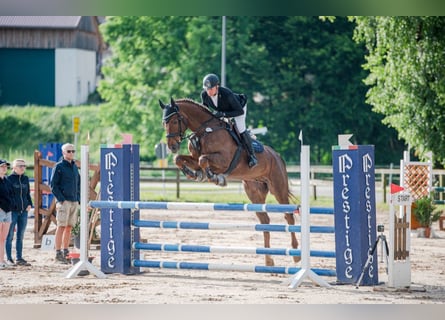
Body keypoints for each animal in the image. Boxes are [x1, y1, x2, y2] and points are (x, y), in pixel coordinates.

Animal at [158, 97, 300, 264]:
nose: (172, 146)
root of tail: (277, 156)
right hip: (254, 192)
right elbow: (180, 159)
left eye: (174, 121)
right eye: (164, 123)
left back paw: (296, 255)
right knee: (265, 221)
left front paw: (215, 178)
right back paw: (268, 260)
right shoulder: (194, 158)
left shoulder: (224, 160)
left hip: (278, 188)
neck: (204, 131)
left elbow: (203, 159)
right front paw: (194, 174)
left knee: (288, 216)